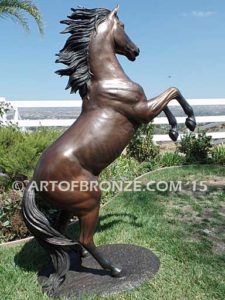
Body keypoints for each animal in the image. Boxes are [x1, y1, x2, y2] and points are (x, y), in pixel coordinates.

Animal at [22, 5, 196, 292]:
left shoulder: (145, 111)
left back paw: (75, 258)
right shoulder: (142, 111)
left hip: (70, 207)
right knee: (84, 238)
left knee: (60, 233)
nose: (136, 51)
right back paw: (113, 269)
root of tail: (35, 182)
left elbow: (168, 100)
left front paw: (173, 130)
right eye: (123, 26)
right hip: (90, 202)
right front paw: (190, 122)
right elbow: (173, 91)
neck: (108, 81)